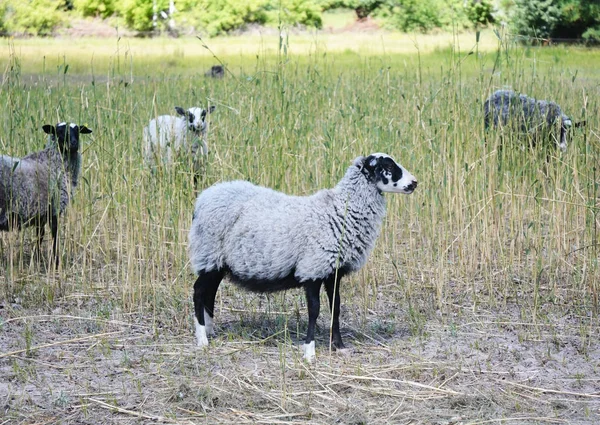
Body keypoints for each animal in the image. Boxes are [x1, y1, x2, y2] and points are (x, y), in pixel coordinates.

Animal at [0, 121, 92, 264]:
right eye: (59, 132)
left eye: (77, 130)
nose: (73, 144)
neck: (52, 163)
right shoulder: (53, 209)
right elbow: (54, 236)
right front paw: (56, 261)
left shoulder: (40, 213)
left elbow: (40, 236)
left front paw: (37, 258)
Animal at [188, 152, 418, 362]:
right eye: (388, 166)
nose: (414, 183)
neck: (339, 211)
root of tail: (202, 199)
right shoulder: (312, 268)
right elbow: (314, 310)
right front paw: (309, 352)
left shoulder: (333, 271)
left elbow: (336, 307)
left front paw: (339, 346)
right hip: (208, 252)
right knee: (199, 291)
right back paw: (202, 339)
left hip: (216, 261)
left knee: (210, 292)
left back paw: (209, 330)